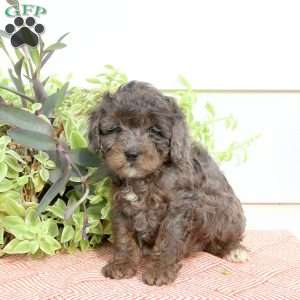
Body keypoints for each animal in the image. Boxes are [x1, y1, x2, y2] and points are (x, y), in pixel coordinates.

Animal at [88, 81, 247, 286]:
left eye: (154, 131)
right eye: (115, 128)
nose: (131, 153)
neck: (145, 178)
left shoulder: (178, 207)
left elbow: (169, 237)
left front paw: (159, 270)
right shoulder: (120, 204)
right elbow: (123, 236)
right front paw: (122, 264)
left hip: (227, 213)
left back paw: (234, 250)